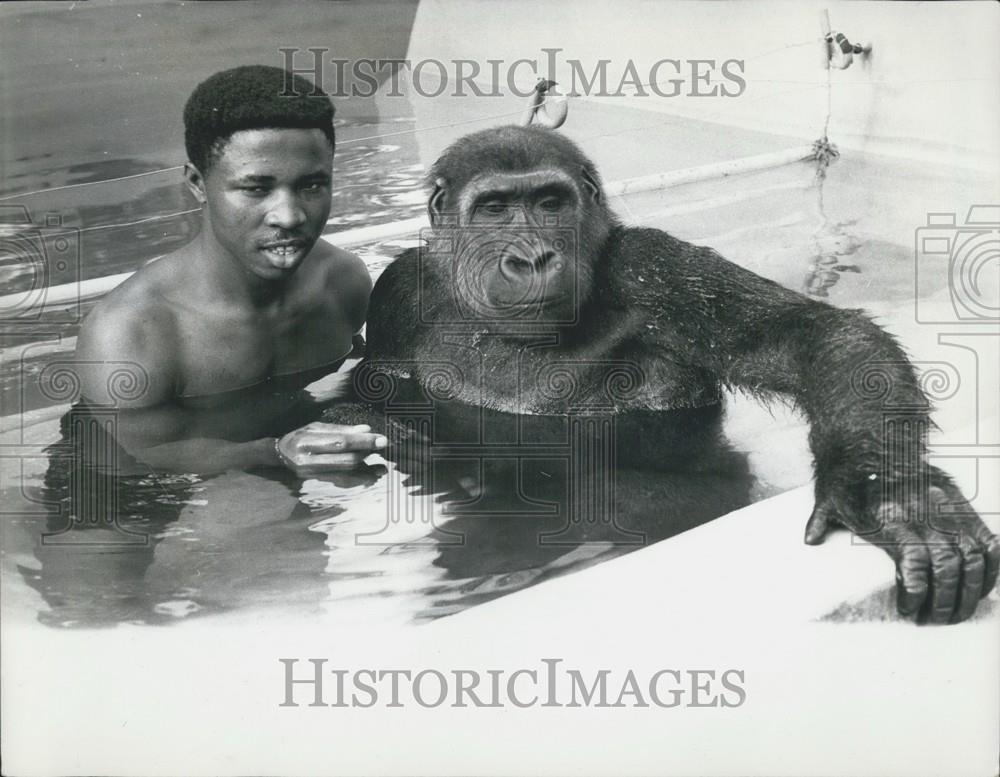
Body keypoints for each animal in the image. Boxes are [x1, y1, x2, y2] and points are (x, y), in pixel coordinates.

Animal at [356, 126, 996, 624]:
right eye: (493, 209)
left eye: (550, 203)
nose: (532, 257)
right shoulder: (398, 291)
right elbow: (376, 392)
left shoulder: (651, 265)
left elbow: (805, 334)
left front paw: (891, 496)